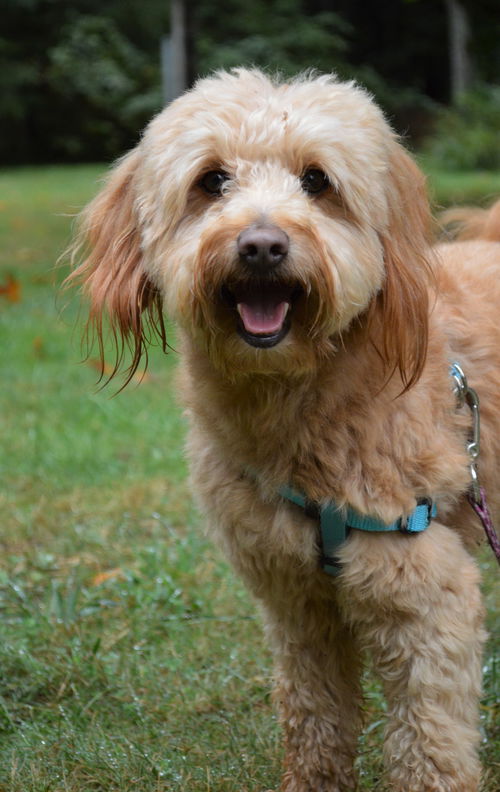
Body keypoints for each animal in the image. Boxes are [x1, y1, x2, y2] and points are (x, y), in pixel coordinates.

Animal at [67, 71, 500, 788]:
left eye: (317, 180)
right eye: (212, 180)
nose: (262, 246)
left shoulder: (425, 595)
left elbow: (428, 742)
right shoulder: (295, 601)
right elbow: (313, 717)